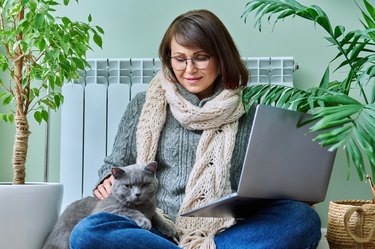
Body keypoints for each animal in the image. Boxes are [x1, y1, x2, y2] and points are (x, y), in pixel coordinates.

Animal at [43, 161, 178, 249]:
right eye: (128, 186)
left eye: (145, 184)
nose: (138, 194)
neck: (143, 207)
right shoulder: (107, 208)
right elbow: (129, 210)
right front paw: (145, 222)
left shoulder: (151, 208)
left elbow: (157, 216)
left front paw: (169, 227)